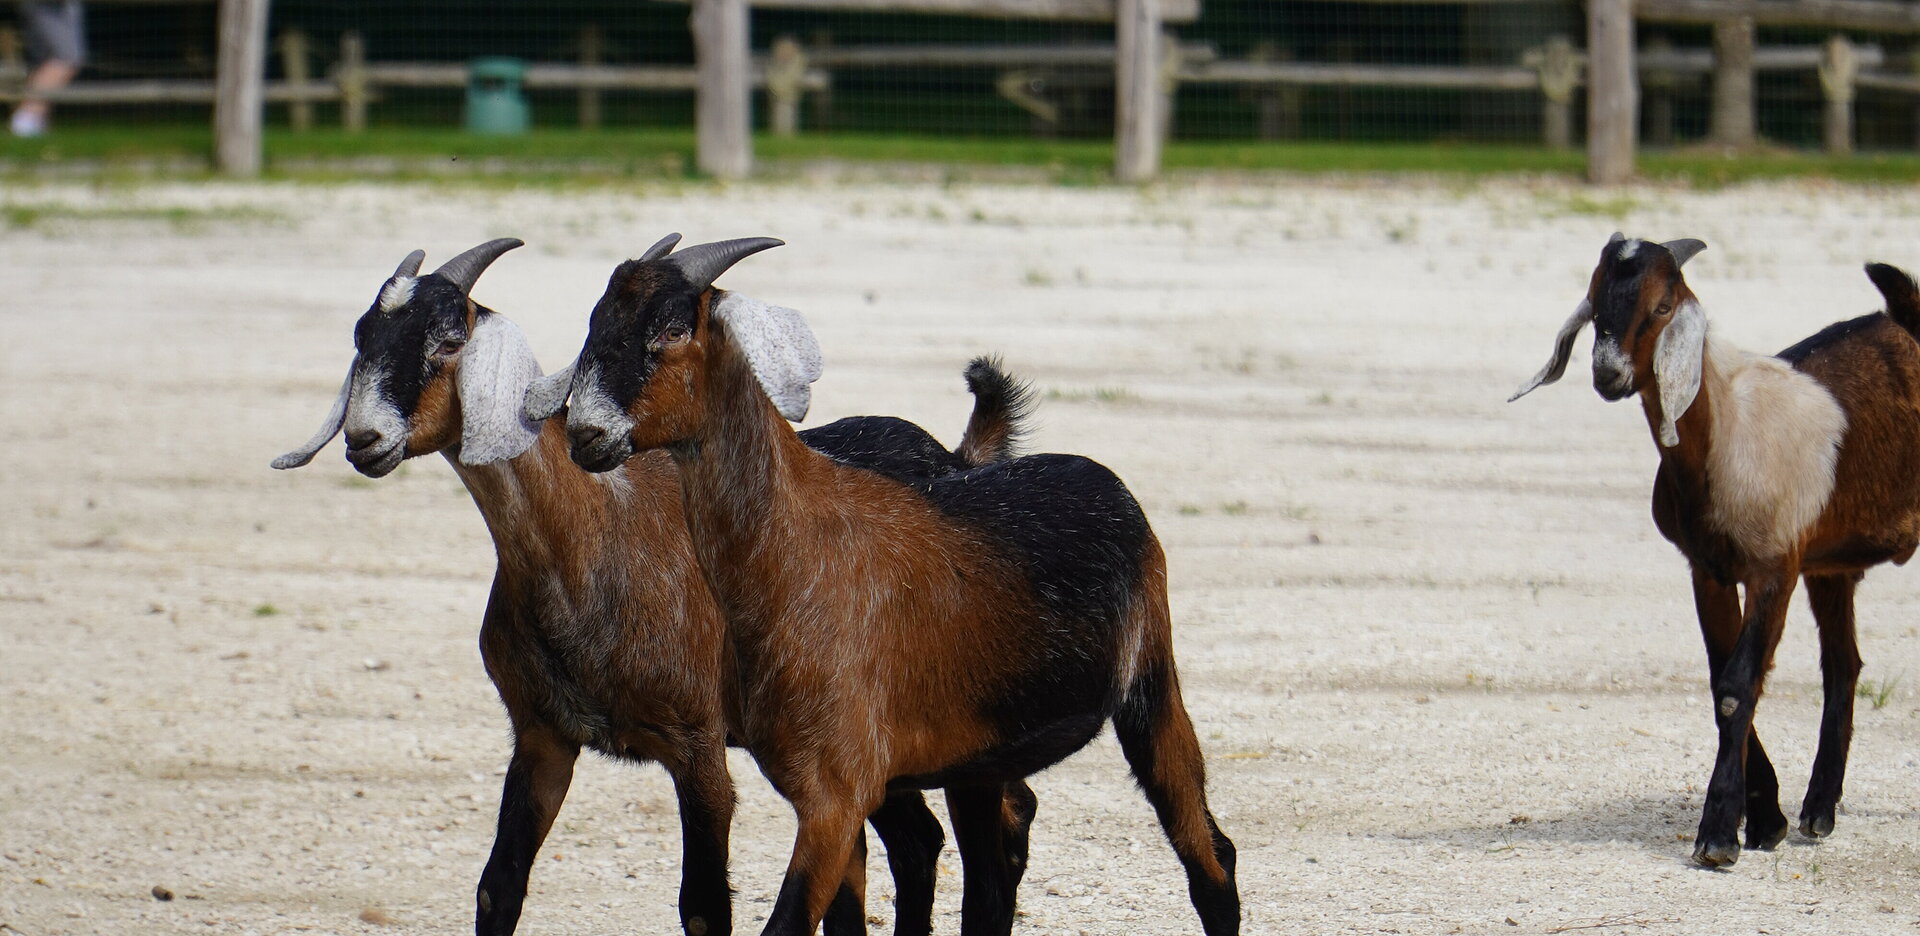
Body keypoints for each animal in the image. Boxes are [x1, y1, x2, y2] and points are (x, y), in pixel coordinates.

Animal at [272, 239, 1044, 936]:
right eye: (362, 336)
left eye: (451, 338)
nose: (364, 440)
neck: (590, 546)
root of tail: (956, 457)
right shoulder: (544, 733)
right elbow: (498, 888)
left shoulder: (698, 745)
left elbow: (703, 910)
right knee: (920, 840)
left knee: (995, 819)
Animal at [556, 235, 1244, 936]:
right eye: (594, 323)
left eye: (673, 328)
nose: (584, 433)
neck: (794, 554)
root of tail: (1102, 480)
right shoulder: (837, 789)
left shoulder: (836, 795)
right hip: (980, 755)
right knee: (986, 883)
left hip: (1150, 685)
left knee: (1209, 855)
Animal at [1505, 235, 1920, 870]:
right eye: (1596, 303)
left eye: (1661, 307)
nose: (1608, 374)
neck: (1726, 429)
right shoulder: (1711, 569)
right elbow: (1721, 678)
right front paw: (1767, 819)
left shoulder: (1776, 566)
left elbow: (1736, 686)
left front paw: (1720, 834)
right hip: (1831, 564)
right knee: (1843, 665)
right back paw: (1819, 809)